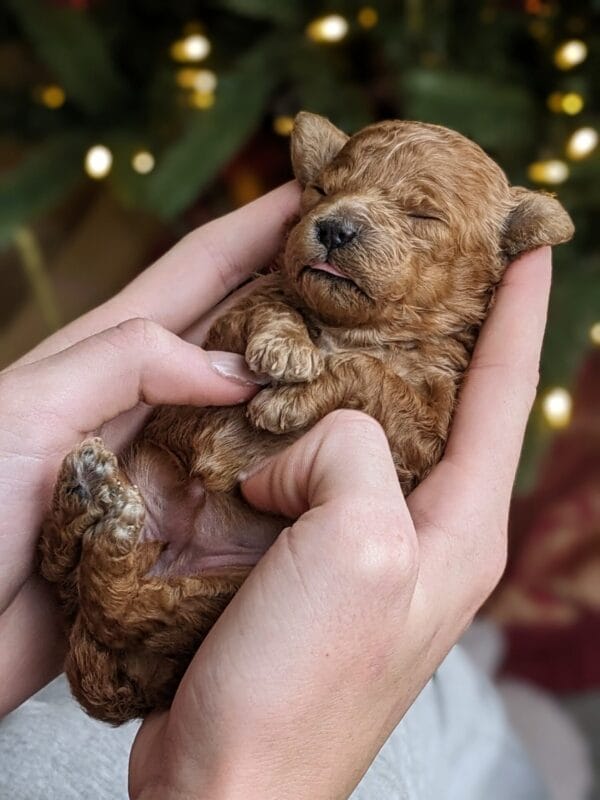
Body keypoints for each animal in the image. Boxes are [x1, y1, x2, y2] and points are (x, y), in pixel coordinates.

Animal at [37, 111, 572, 724]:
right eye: (322, 190)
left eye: (423, 215)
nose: (334, 227)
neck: (352, 330)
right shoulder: (234, 321)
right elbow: (276, 306)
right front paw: (288, 349)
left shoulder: (424, 436)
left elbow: (373, 376)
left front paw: (291, 397)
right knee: (61, 574)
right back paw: (84, 496)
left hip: (218, 596)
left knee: (126, 609)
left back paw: (108, 535)